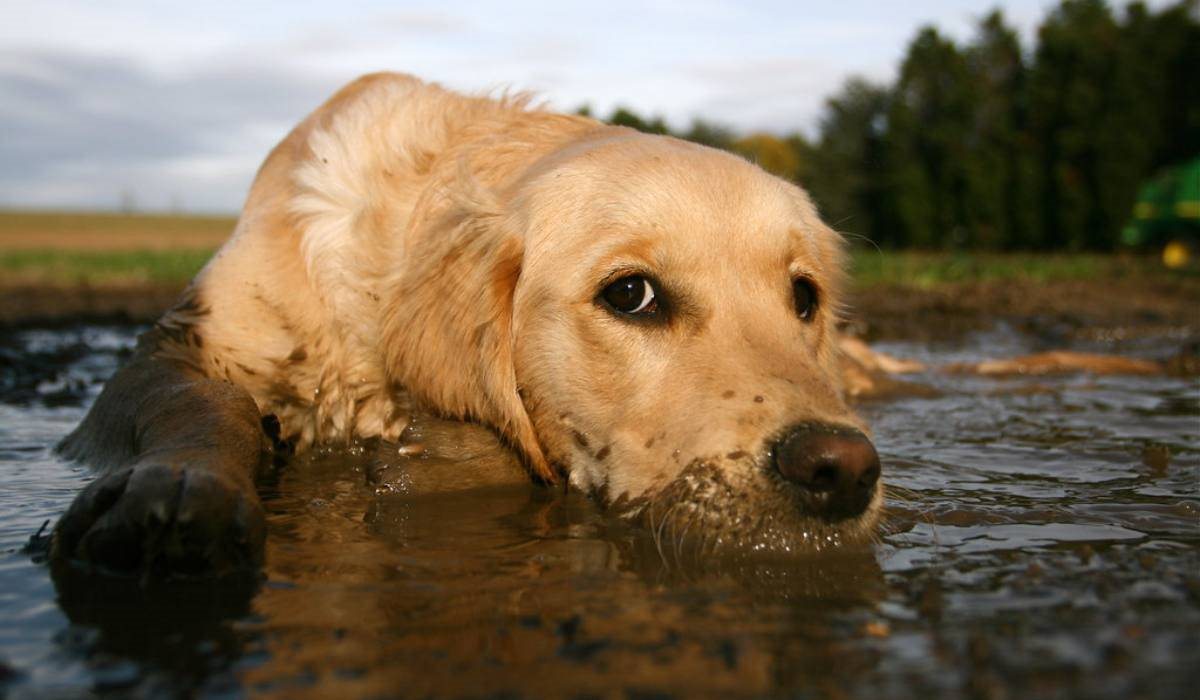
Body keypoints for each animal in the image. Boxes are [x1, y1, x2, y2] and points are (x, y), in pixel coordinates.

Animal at [51, 71, 892, 578]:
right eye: (631, 295)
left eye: (804, 297)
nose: (840, 469)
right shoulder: (176, 348)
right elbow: (206, 400)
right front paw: (177, 491)